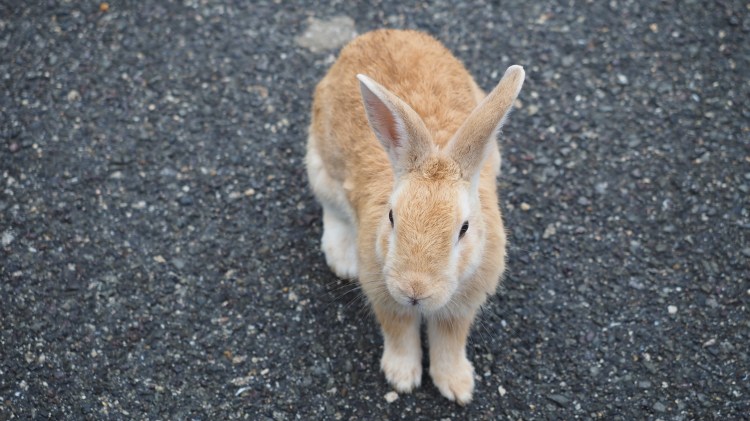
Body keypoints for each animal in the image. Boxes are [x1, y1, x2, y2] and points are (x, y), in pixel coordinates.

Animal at [305, 29, 524, 404]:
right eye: (392, 217)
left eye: (464, 229)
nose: (414, 290)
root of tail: (381, 33)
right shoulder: (384, 293)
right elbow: (399, 332)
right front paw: (402, 377)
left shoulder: (460, 306)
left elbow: (449, 341)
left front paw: (457, 386)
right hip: (321, 166)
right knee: (332, 209)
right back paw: (342, 259)